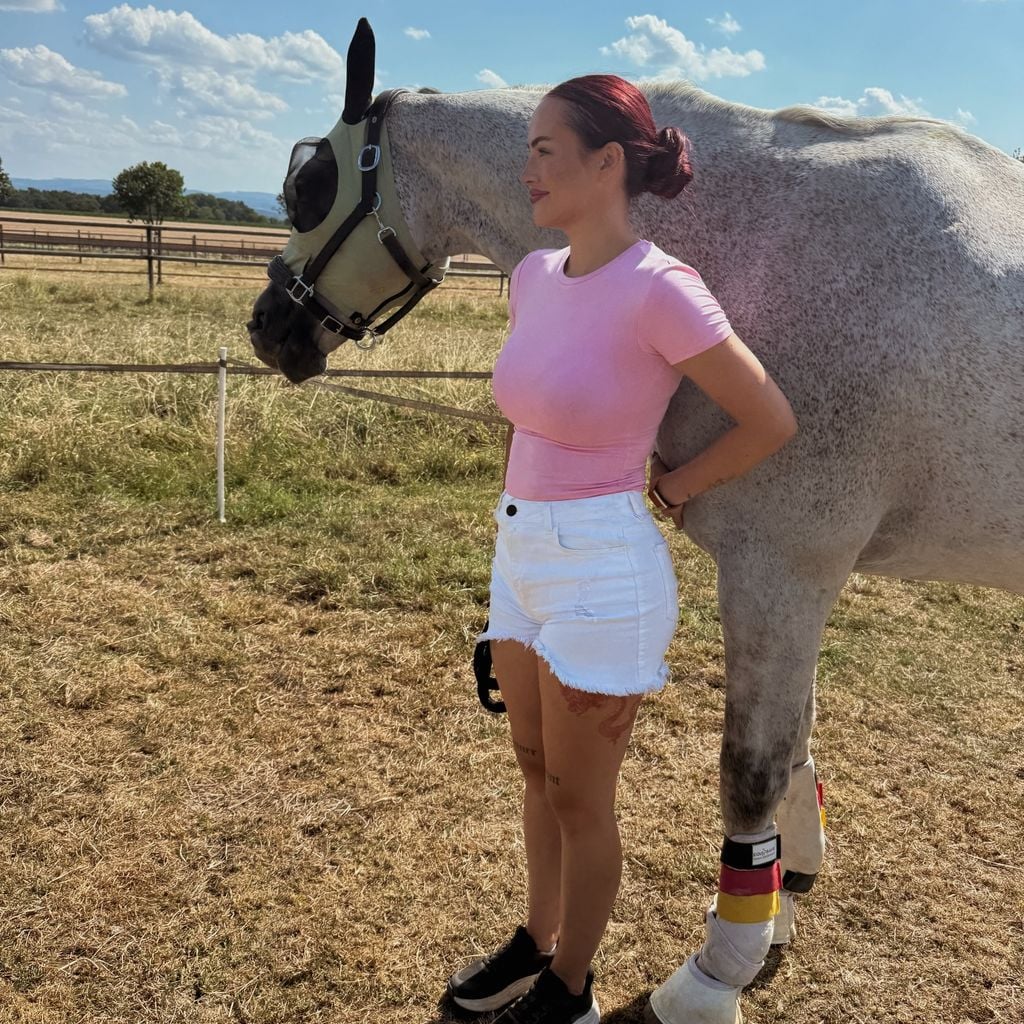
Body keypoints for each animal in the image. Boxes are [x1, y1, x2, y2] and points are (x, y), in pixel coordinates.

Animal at [247, 18, 1024, 1024]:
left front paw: (717, 971)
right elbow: (795, 745)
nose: (267, 325)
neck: (757, 242)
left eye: (309, 186)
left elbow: (752, 768)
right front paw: (775, 911)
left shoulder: (782, 569)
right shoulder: (798, 581)